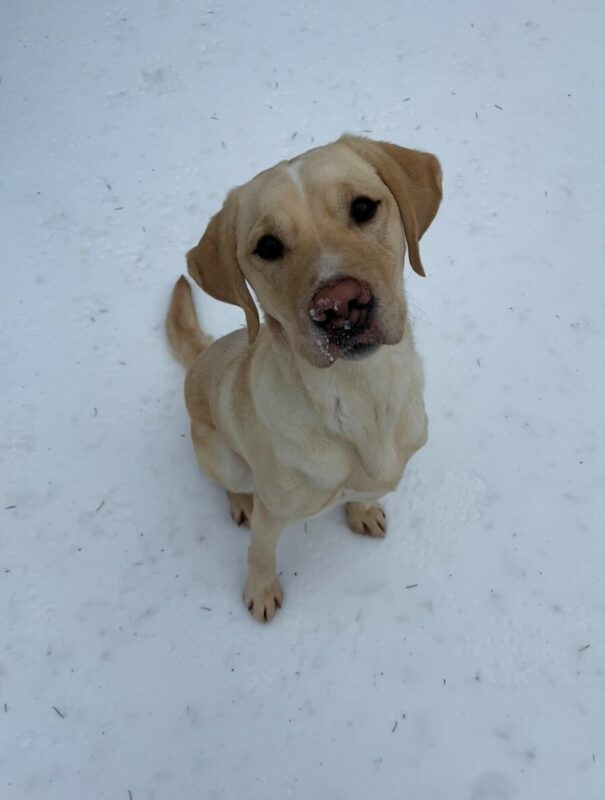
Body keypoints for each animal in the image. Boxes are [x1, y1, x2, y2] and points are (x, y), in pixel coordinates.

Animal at [165, 134, 438, 620]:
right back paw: (240, 503)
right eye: (268, 246)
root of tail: (203, 353)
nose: (340, 305)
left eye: (363, 207)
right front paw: (260, 592)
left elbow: (363, 494)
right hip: (223, 455)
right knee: (230, 485)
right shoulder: (274, 512)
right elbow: (260, 553)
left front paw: (362, 511)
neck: (361, 395)